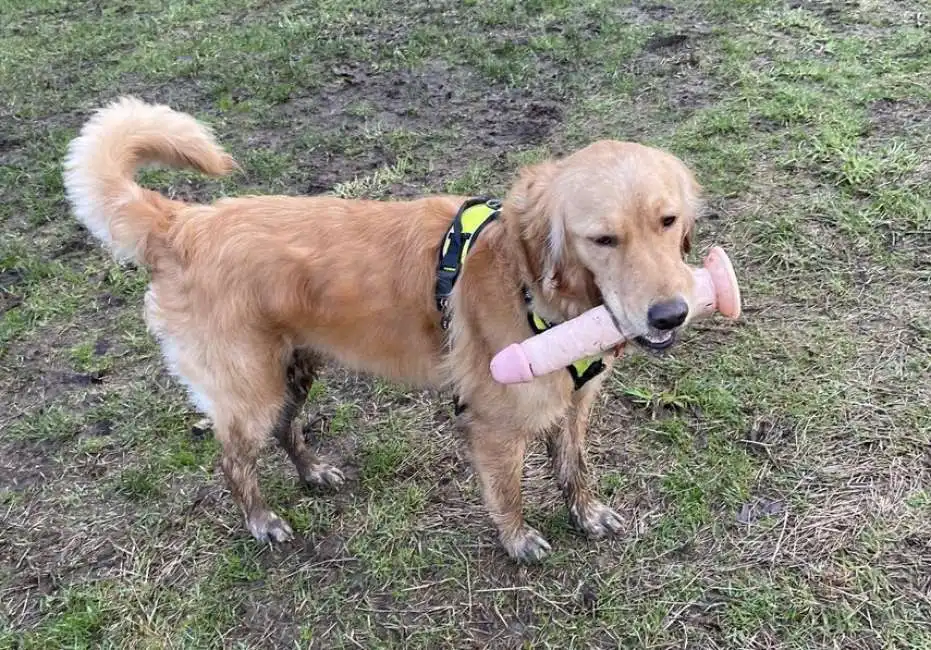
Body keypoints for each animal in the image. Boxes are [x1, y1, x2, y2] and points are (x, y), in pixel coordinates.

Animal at [63, 97, 700, 560]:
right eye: (603, 239)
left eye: (668, 221)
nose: (670, 314)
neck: (534, 287)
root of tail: (181, 223)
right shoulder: (494, 425)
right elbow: (509, 492)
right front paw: (518, 541)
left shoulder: (573, 404)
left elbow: (574, 470)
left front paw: (586, 514)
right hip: (251, 391)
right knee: (234, 461)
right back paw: (262, 521)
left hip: (296, 368)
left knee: (288, 428)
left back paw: (313, 472)